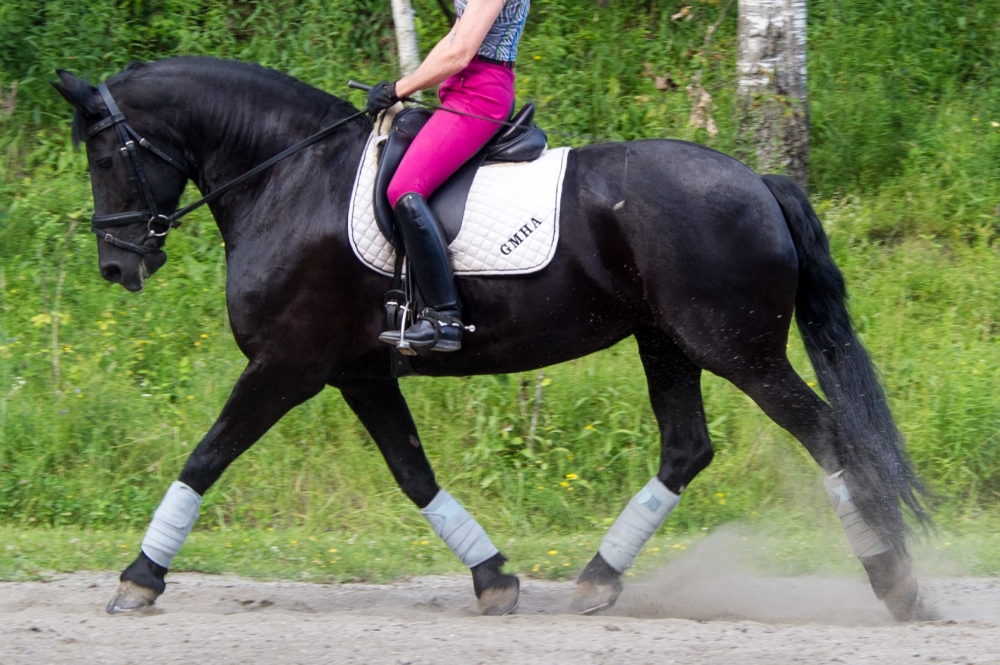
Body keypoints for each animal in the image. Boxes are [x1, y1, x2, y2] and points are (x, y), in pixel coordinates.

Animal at [52, 56, 931, 620]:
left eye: (102, 150)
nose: (116, 263)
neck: (288, 177)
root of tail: (758, 180)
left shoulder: (286, 364)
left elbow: (205, 456)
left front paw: (139, 577)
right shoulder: (360, 372)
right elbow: (414, 473)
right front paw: (492, 579)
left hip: (738, 350)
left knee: (827, 433)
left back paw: (896, 582)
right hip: (666, 342)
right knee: (687, 447)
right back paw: (598, 578)